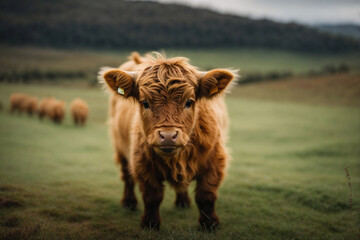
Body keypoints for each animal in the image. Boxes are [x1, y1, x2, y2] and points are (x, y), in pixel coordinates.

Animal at [100, 52, 238, 231]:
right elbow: (152, 196)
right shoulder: (142, 163)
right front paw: (150, 223)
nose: (167, 136)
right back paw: (129, 202)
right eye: (145, 103)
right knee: (127, 176)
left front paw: (209, 224)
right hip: (120, 146)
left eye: (189, 102)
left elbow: (206, 195)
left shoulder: (215, 160)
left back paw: (183, 202)